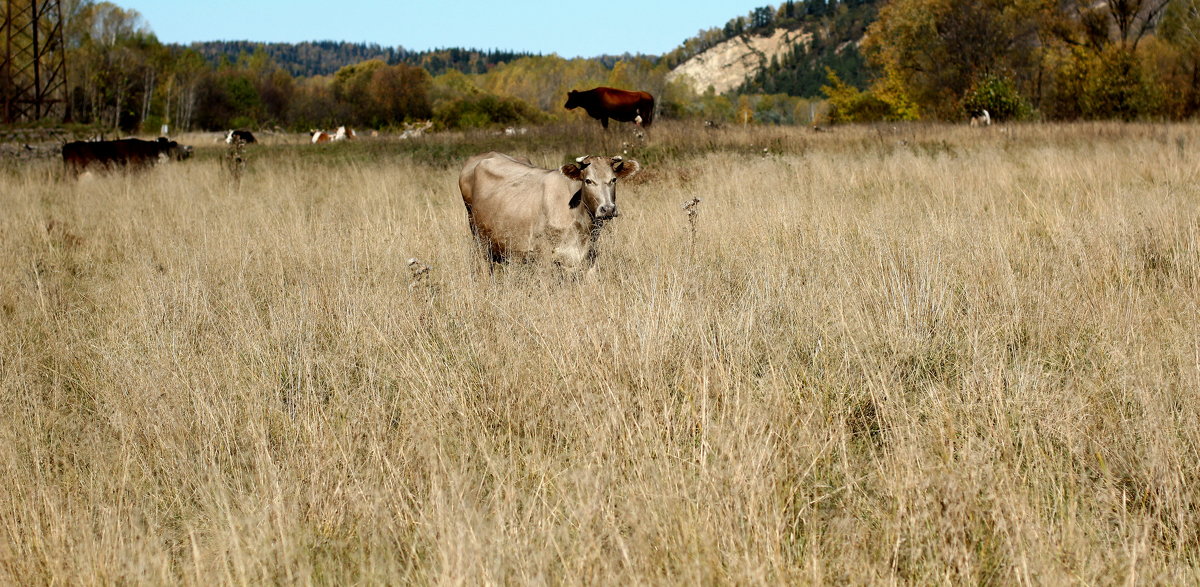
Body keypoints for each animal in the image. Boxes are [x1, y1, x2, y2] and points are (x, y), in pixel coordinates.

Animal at [456, 151, 638, 270]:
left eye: (613, 179)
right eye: (588, 181)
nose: (608, 209)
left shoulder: (588, 255)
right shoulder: (543, 255)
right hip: (478, 235)